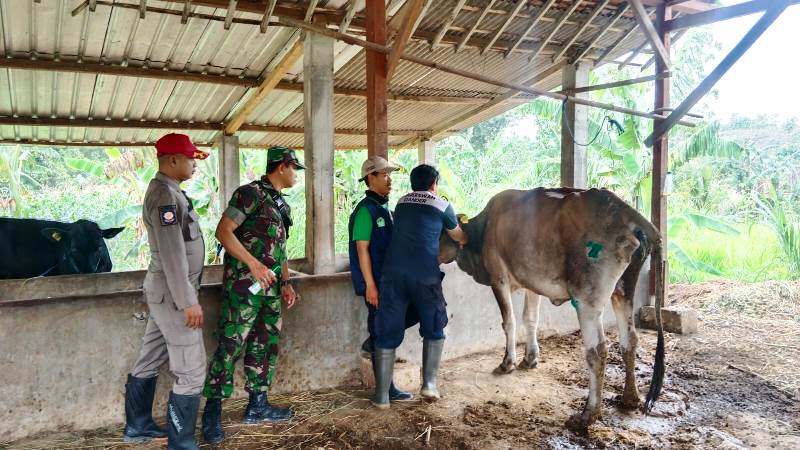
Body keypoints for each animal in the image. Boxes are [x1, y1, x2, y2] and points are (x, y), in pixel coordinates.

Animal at [438, 186, 664, 428]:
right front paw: (530, 358)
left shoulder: (499, 278)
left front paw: (508, 363)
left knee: (597, 351)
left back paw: (588, 415)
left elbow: (509, 321)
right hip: (623, 291)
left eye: (439, 231)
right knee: (629, 340)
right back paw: (629, 398)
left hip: (587, 300)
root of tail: (629, 214)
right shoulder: (531, 282)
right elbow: (530, 318)